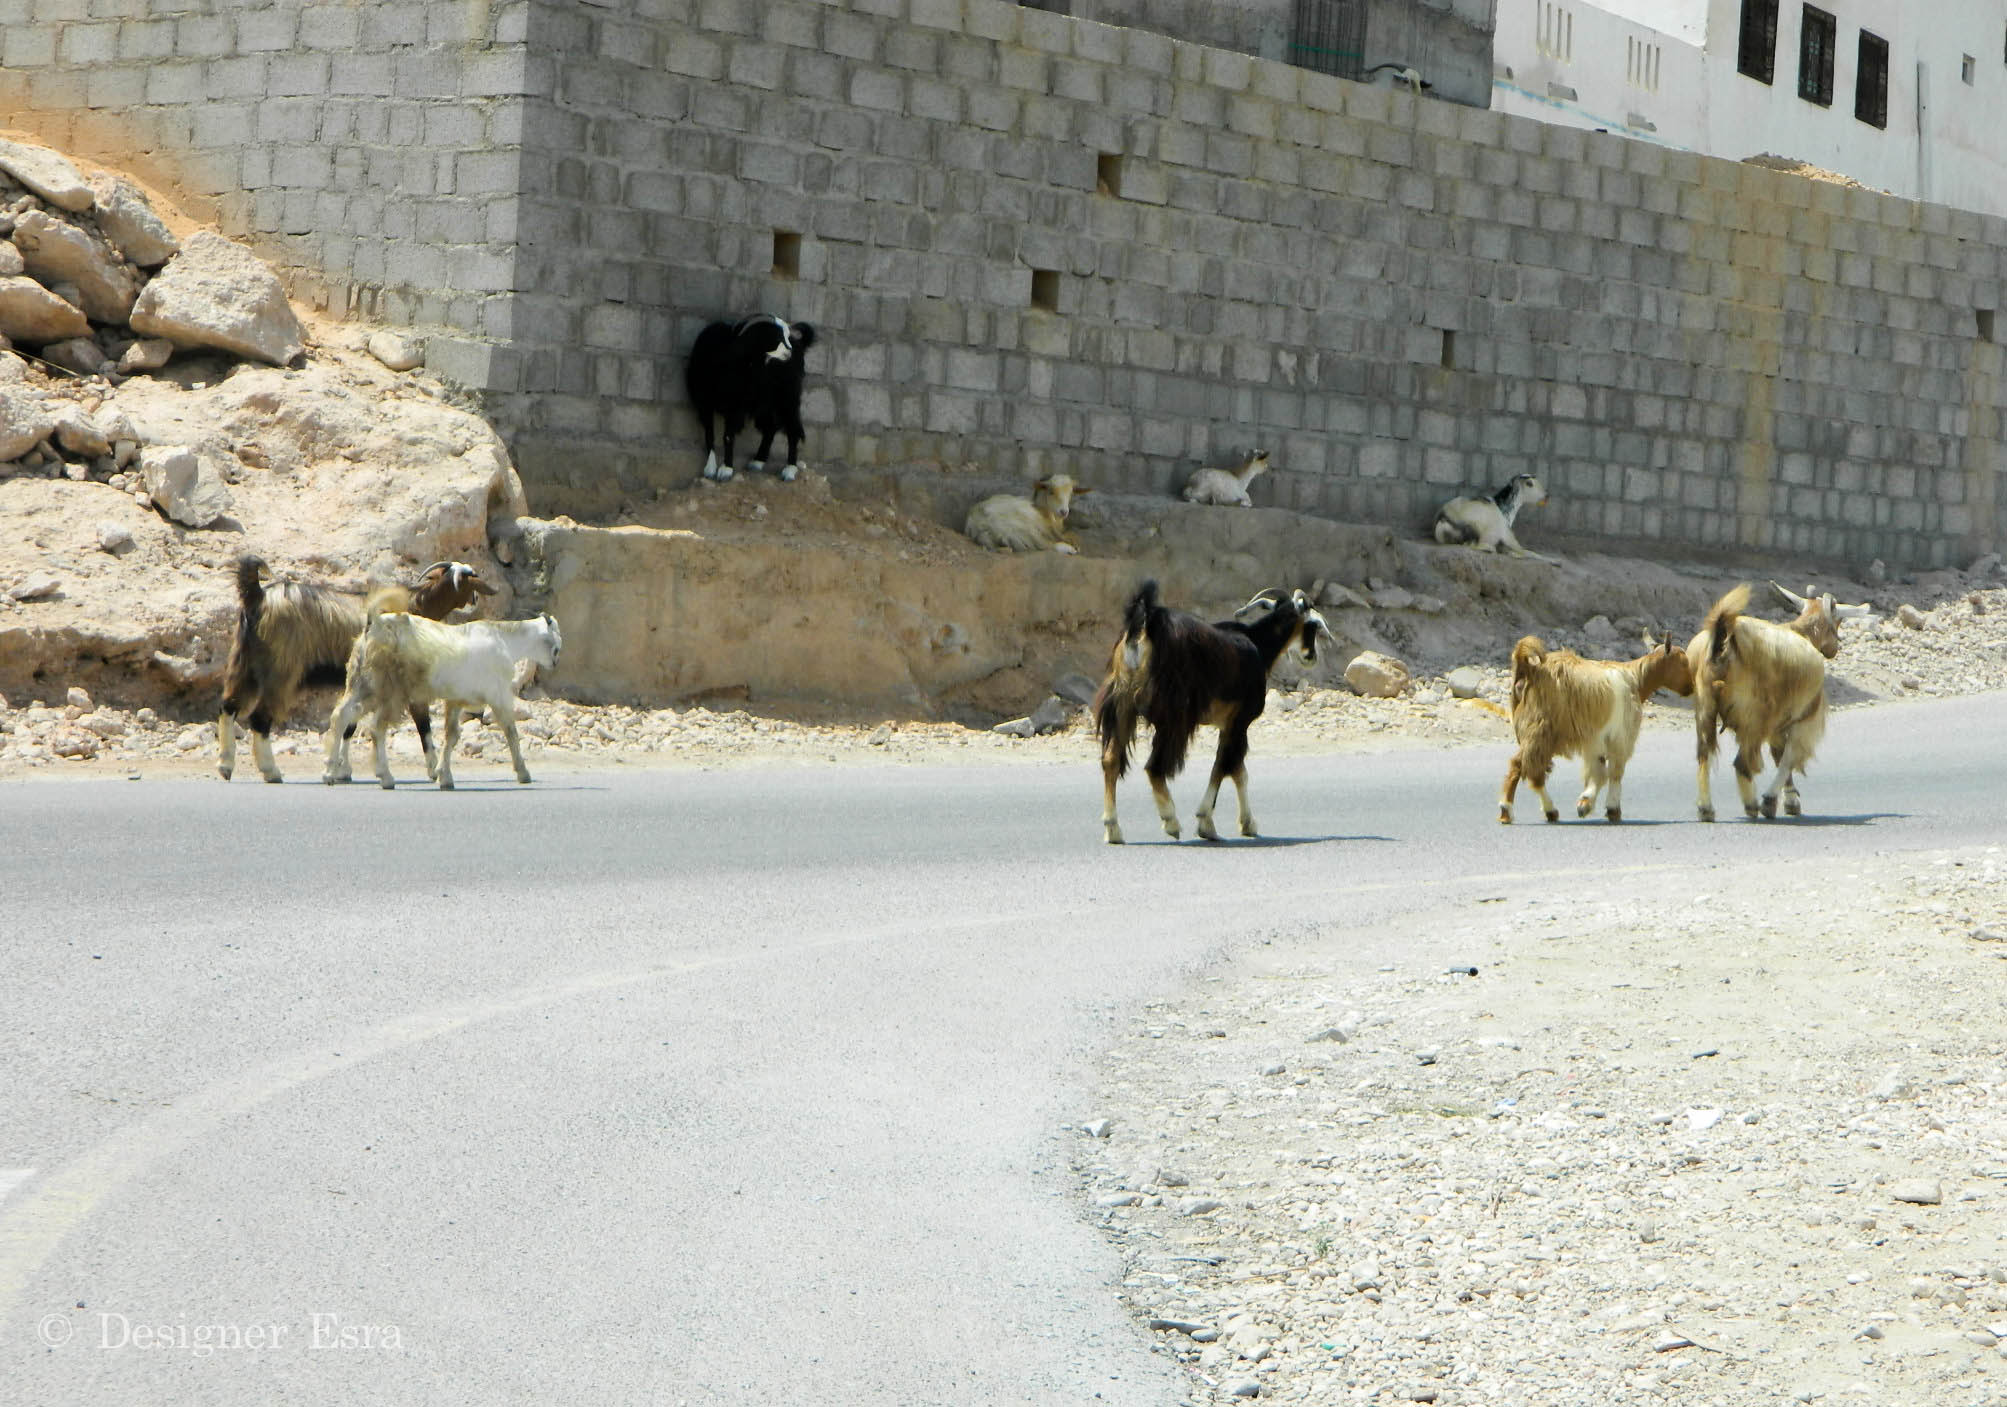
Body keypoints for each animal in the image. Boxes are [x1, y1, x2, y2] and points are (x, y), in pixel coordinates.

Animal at [323, 602, 561, 790]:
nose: (555, 661)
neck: (505, 641)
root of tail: (373, 626)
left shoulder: (456, 699)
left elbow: (451, 735)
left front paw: (444, 777)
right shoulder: (498, 694)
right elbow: (510, 731)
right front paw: (523, 773)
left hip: (361, 683)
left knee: (341, 716)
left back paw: (329, 772)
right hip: (390, 690)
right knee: (376, 728)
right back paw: (385, 777)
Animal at [690, 315, 814, 483]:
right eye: (776, 337)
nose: (789, 352)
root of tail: (799, 344)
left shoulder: (735, 406)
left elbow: (728, 435)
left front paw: (726, 470)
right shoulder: (704, 403)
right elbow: (709, 434)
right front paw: (709, 469)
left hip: (787, 397)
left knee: (792, 428)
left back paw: (789, 469)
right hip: (764, 401)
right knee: (771, 427)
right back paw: (758, 461)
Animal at [963, 477, 1091, 553]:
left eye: (1071, 493)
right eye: (1051, 492)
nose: (1064, 511)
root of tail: (976, 522)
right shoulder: (1046, 529)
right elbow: (1067, 535)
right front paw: (1073, 543)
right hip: (1024, 527)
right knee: (1046, 545)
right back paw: (1070, 549)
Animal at [1099, 582, 1332, 847]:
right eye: (1313, 624)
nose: (1311, 657)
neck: (1258, 645)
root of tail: (1145, 626)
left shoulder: (1228, 724)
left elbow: (1238, 772)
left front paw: (1247, 824)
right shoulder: (1239, 722)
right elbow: (1225, 767)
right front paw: (1207, 824)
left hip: (1122, 703)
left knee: (1110, 760)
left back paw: (1113, 829)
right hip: (1173, 716)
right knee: (1155, 768)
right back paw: (1171, 821)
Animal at [1685, 582, 1870, 822]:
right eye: (1838, 621)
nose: (1833, 649)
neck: (1802, 632)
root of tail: (1724, 641)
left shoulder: (1779, 719)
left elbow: (1778, 753)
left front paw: (1789, 801)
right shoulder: (1804, 716)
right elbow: (1788, 757)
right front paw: (1775, 801)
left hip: (1705, 707)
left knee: (1704, 755)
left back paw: (1706, 809)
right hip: (1754, 716)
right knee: (1742, 763)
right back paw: (1752, 806)